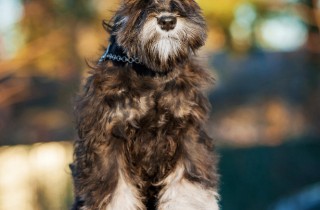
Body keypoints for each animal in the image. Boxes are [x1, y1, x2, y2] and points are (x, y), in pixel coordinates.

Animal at [71, 0, 219, 210]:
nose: (167, 21)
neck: (152, 72)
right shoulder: (107, 139)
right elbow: (115, 193)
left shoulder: (187, 132)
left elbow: (188, 187)